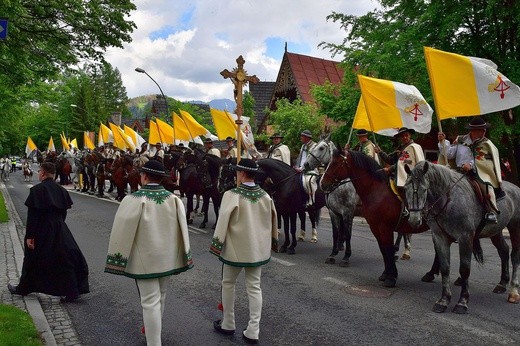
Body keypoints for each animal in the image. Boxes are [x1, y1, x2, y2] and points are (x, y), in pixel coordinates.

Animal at [406, 162, 520, 314]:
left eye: (424, 189)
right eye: (405, 189)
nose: (414, 221)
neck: (448, 200)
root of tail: (516, 188)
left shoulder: (465, 238)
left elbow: (465, 269)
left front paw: (462, 302)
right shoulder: (440, 237)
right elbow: (445, 268)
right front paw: (443, 300)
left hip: (515, 228)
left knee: (515, 256)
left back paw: (513, 292)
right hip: (496, 231)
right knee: (504, 251)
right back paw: (502, 284)